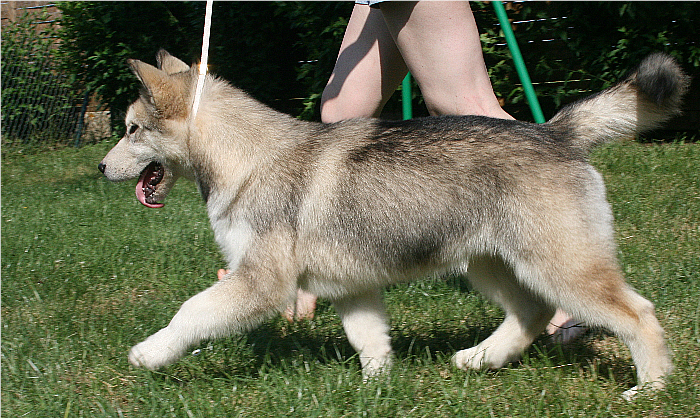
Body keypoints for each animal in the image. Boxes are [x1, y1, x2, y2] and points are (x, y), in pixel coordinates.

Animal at [98, 49, 688, 398]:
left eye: (131, 130)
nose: (101, 167)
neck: (245, 157)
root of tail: (555, 132)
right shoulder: (352, 287)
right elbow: (370, 340)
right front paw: (377, 387)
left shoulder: (260, 283)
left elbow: (192, 312)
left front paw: (151, 353)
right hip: (490, 263)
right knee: (530, 311)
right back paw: (480, 358)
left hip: (561, 265)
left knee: (637, 314)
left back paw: (651, 389)